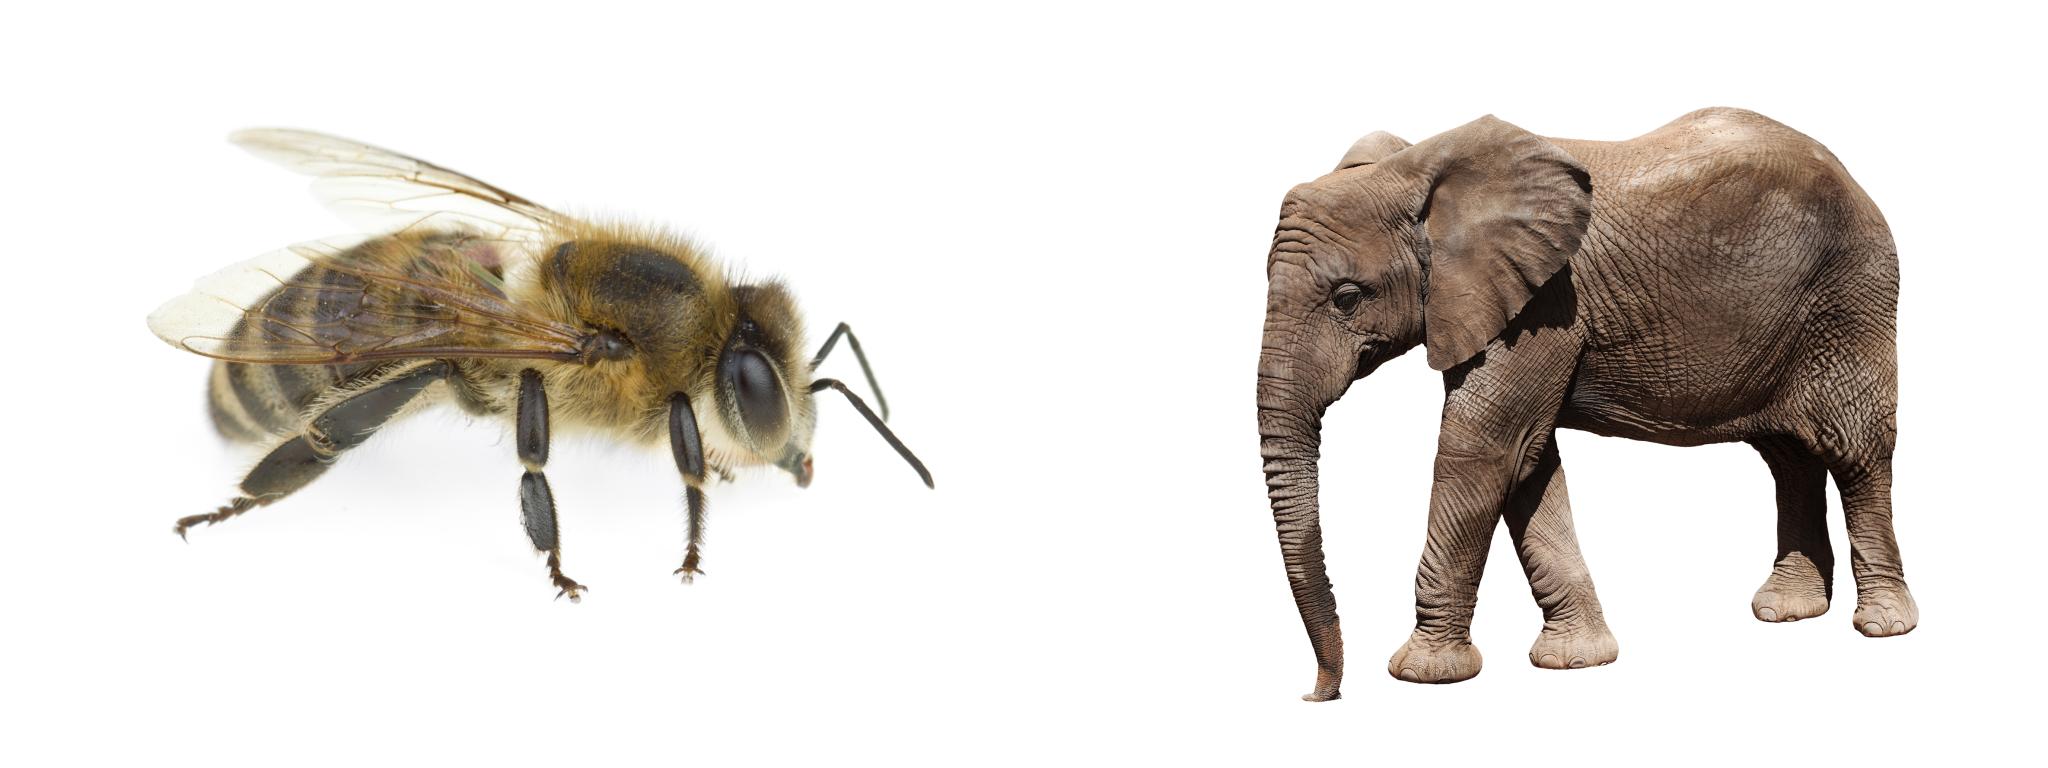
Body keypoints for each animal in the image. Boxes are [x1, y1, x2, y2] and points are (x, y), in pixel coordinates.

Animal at [1255, 108, 1910, 701]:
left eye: (1346, 298)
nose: (1320, 694)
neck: (1418, 169)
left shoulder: (1545, 302)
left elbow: (1484, 448)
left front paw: (1424, 674)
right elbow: (1527, 461)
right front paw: (1576, 661)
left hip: (1852, 298)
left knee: (1854, 451)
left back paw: (1883, 625)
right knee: (1789, 457)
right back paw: (1787, 611)